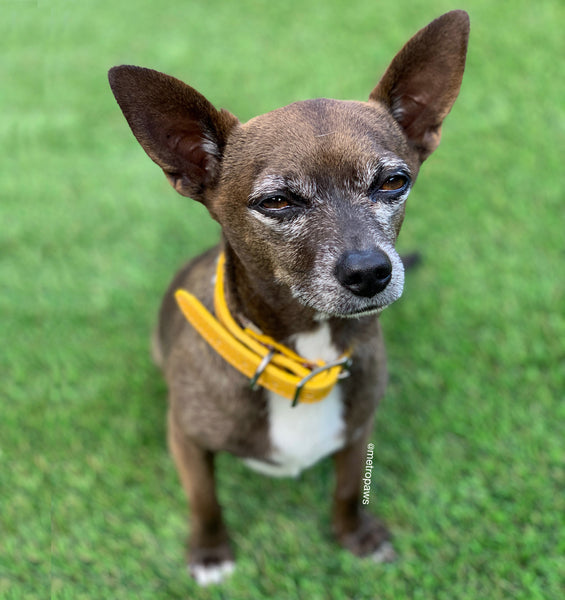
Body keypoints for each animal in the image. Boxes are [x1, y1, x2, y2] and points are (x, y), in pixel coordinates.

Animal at [109, 10, 468, 584]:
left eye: (393, 181)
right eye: (277, 202)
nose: (370, 271)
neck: (307, 353)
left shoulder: (358, 429)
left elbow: (348, 489)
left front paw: (355, 535)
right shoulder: (185, 439)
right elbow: (204, 499)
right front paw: (209, 551)